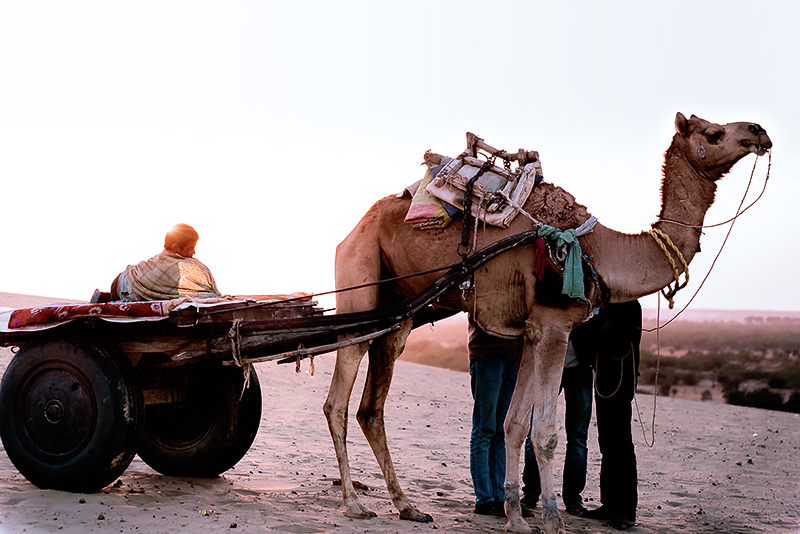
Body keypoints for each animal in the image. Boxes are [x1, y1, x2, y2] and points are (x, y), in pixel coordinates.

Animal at [322, 114, 772, 534]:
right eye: (713, 133)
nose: (759, 131)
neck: (601, 252)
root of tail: (354, 227)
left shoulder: (530, 333)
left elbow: (515, 425)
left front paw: (516, 519)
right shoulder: (555, 327)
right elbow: (546, 433)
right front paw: (553, 520)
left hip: (399, 312)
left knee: (372, 405)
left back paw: (408, 507)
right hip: (361, 273)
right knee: (338, 396)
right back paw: (354, 504)